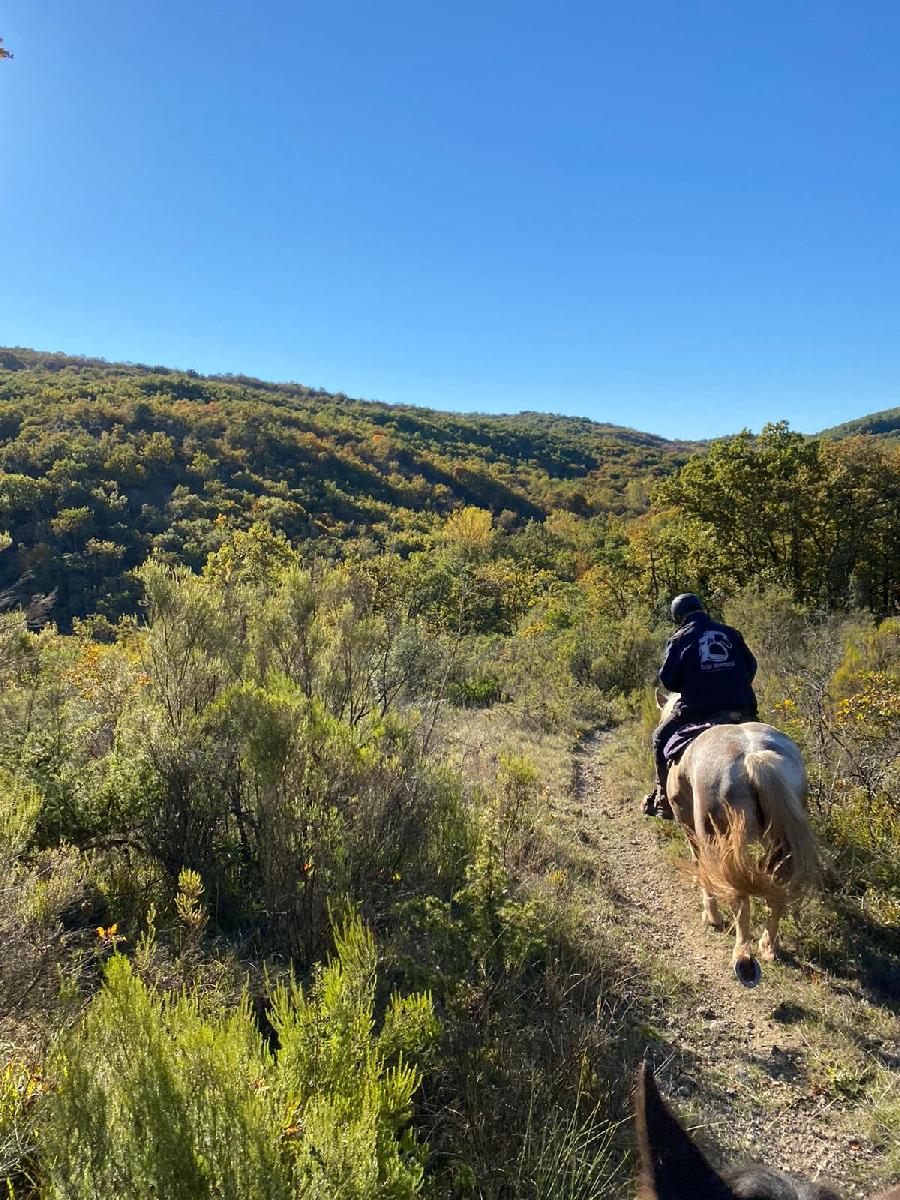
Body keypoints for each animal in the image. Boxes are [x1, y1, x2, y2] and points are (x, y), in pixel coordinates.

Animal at [657, 686, 820, 984]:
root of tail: (753, 756)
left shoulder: (689, 824)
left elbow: (700, 865)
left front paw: (711, 915)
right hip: (779, 840)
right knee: (776, 887)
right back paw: (768, 947)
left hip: (721, 839)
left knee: (739, 895)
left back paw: (742, 956)